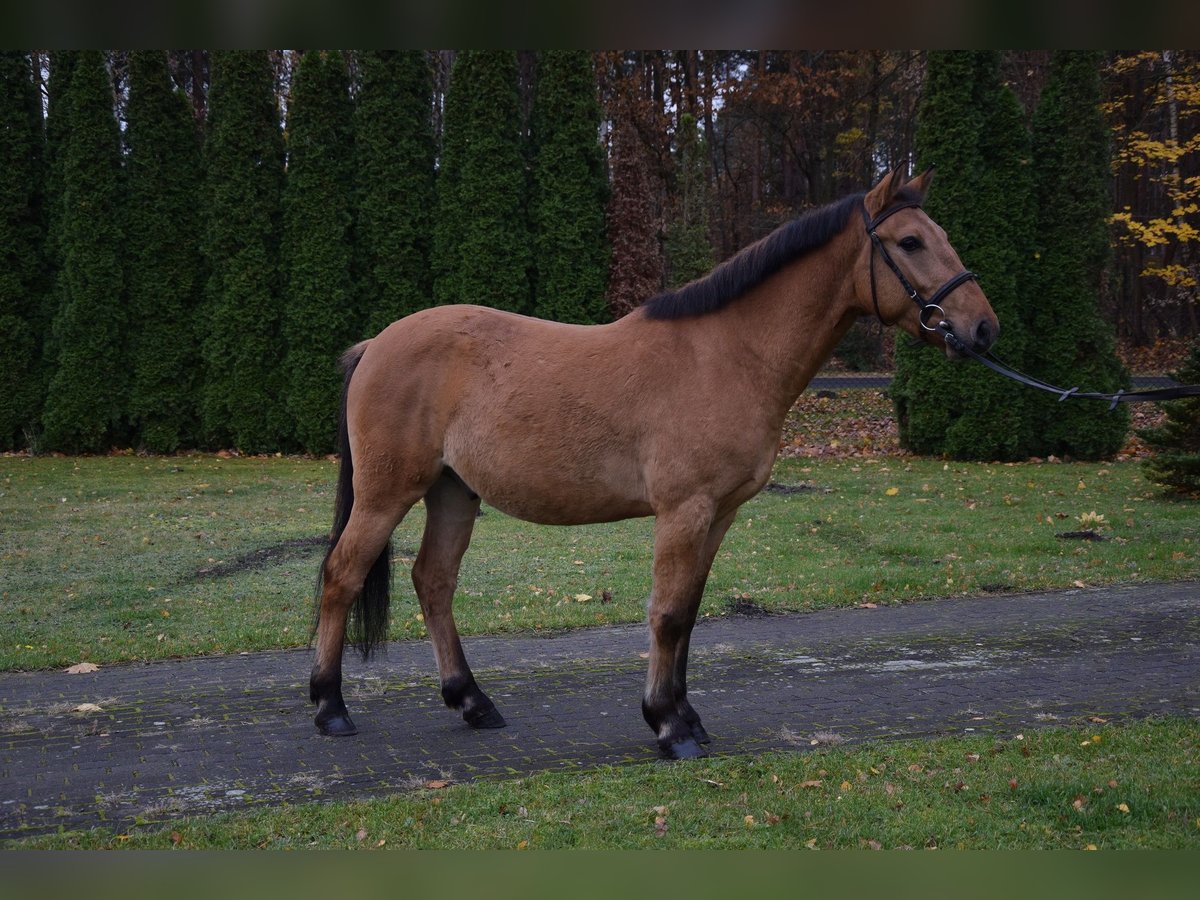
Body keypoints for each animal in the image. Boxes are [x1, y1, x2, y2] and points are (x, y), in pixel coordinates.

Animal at [309, 168, 999, 760]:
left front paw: (686, 716)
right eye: (909, 241)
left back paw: (473, 702)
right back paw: (329, 707)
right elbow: (666, 615)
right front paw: (669, 726)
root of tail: (376, 344)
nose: (983, 329)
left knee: (434, 581)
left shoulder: (718, 515)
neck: (728, 355)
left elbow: (688, 614)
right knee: (342, 575)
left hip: (453, 491)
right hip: (388, 492)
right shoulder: (683, 510)